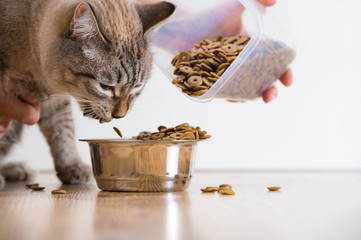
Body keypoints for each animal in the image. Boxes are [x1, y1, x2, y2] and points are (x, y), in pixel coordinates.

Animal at [0, 0, 174, 188]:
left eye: (137, 86)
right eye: (105, 87)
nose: (120, 115)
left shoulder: (55, 99)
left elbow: (63, 133)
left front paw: (72, 167)